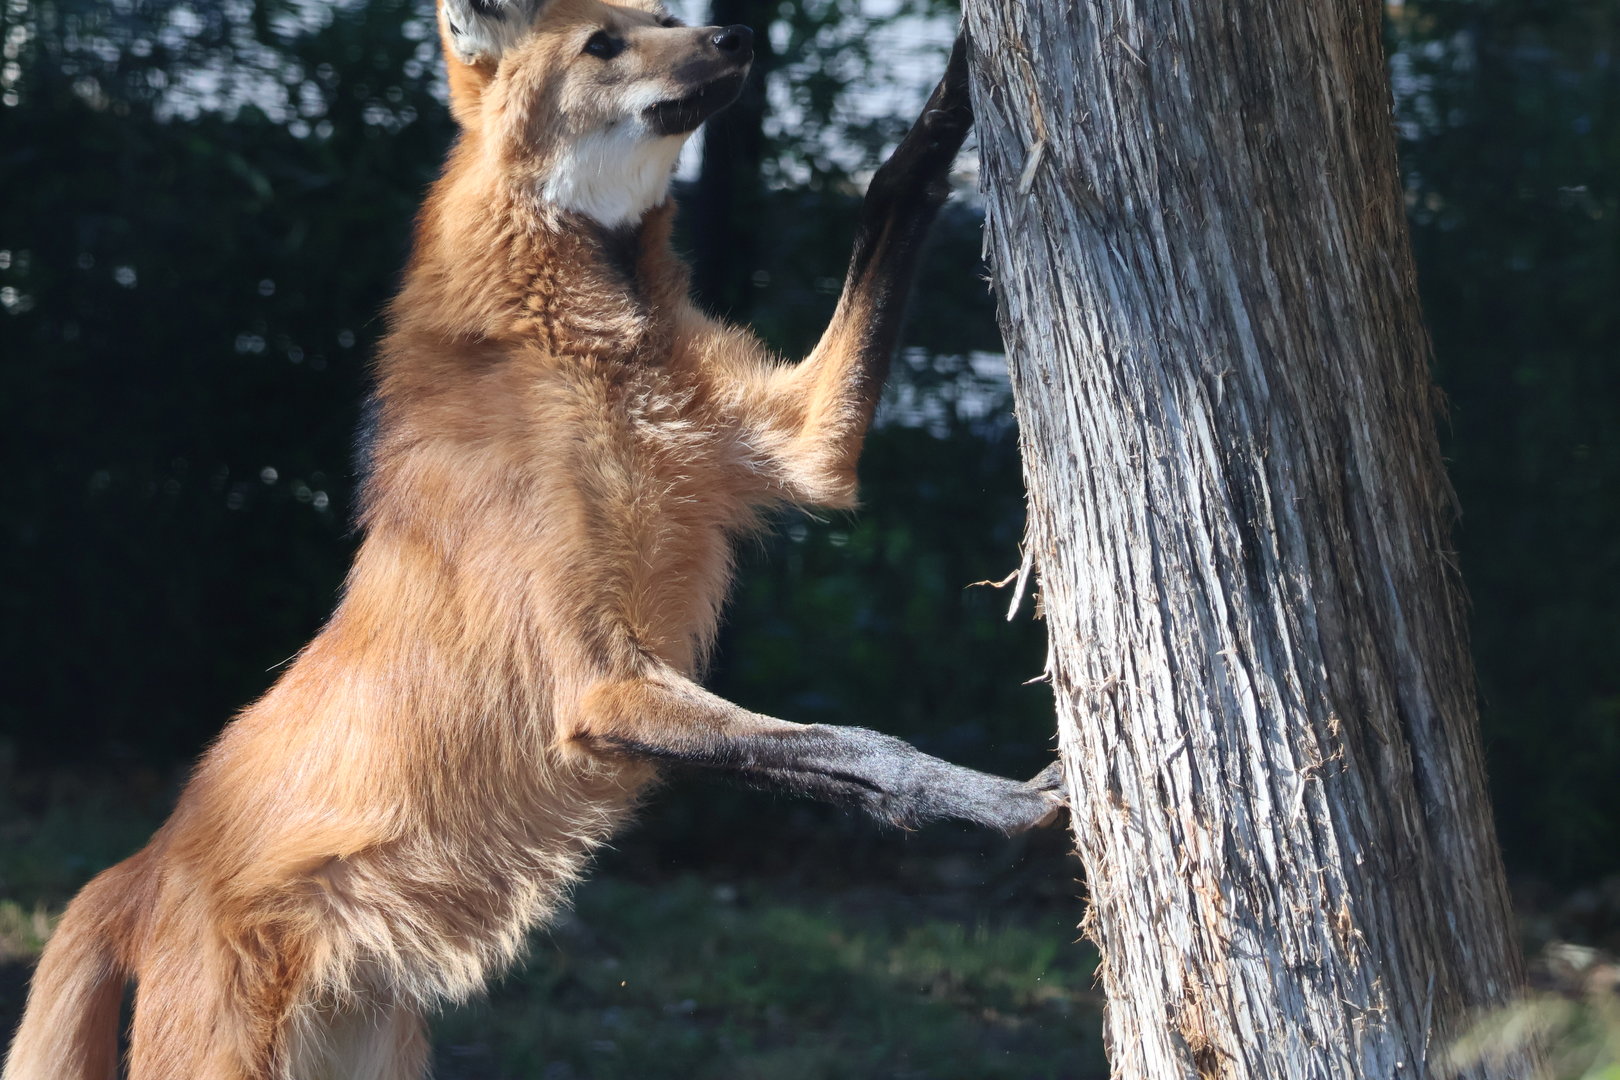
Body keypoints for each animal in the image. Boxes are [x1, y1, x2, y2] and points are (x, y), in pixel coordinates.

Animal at [3, 2, 1061, 1075]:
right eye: (605, 44)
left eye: (665, 17)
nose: (734, 36)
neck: (590, 349)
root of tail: (142, 865)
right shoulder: (598, 682)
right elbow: (856, 742)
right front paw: (1018, 807)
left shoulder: (802, 451)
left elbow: (892, 190)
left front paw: (962, 80)